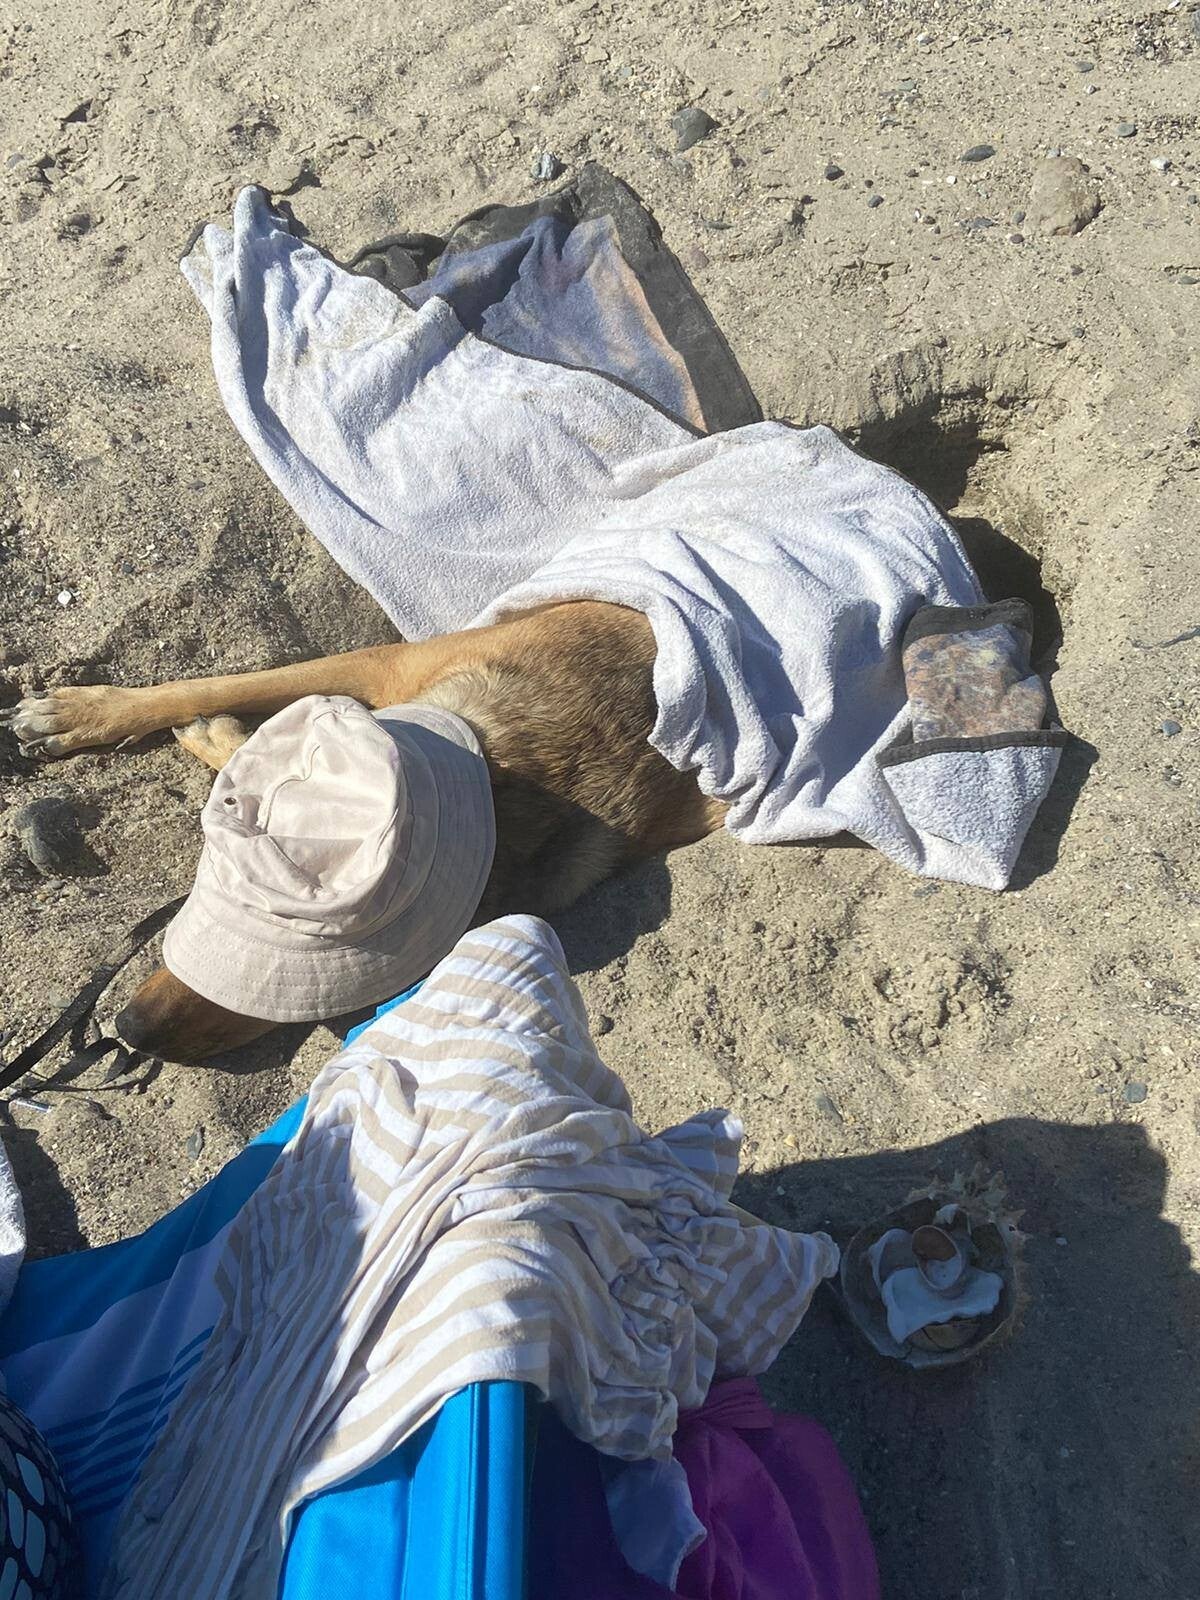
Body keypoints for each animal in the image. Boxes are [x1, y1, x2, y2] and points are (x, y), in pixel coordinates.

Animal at [5, 601, 727, 1063]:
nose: (128, 1030)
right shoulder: (384, 665)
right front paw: (80, 712)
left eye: (291, 1001)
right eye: (206, 895)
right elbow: (216, 686)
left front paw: (222, 740)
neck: (505, 772)